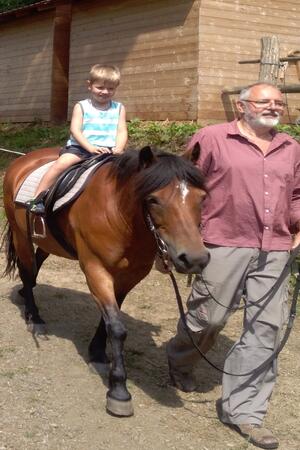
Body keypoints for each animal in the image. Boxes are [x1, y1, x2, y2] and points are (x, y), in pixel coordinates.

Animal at [2, 144, 210, 414]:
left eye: (202, 198)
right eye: (153, 199)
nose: (195, 258)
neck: (120, 216)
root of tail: (23, 160)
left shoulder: (130, 276)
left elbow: (109, 320)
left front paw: (98, 353)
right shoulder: (96, 270)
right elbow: (117, 327)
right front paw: (119, 390)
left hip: (48, 240)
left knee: (36, 265)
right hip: (21, 235)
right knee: (27, 272)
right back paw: (34, 317)